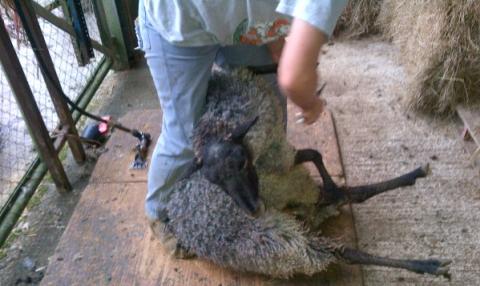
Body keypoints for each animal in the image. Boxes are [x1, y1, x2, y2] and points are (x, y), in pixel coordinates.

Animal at [160, 68, 450, 278]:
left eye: (241, 162)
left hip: (296, 196)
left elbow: (313, 154)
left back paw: (412, 175)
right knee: (343, 250)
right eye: (213, 181)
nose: (254, 210)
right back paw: (429, 266)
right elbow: (312, 154)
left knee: (346, 195)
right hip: (280, 242)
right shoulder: (277, 166)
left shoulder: (279, 161)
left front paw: (330, 181)